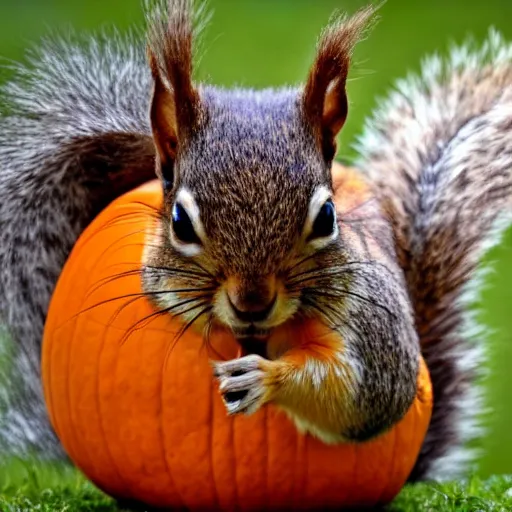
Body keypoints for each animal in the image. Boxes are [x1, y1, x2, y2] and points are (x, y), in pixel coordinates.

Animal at [0, 0, 510, 484]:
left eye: (327, 217)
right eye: (180, 222)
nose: (252, 302)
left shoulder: (370, 319)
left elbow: (371, 394)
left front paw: (267, 377)